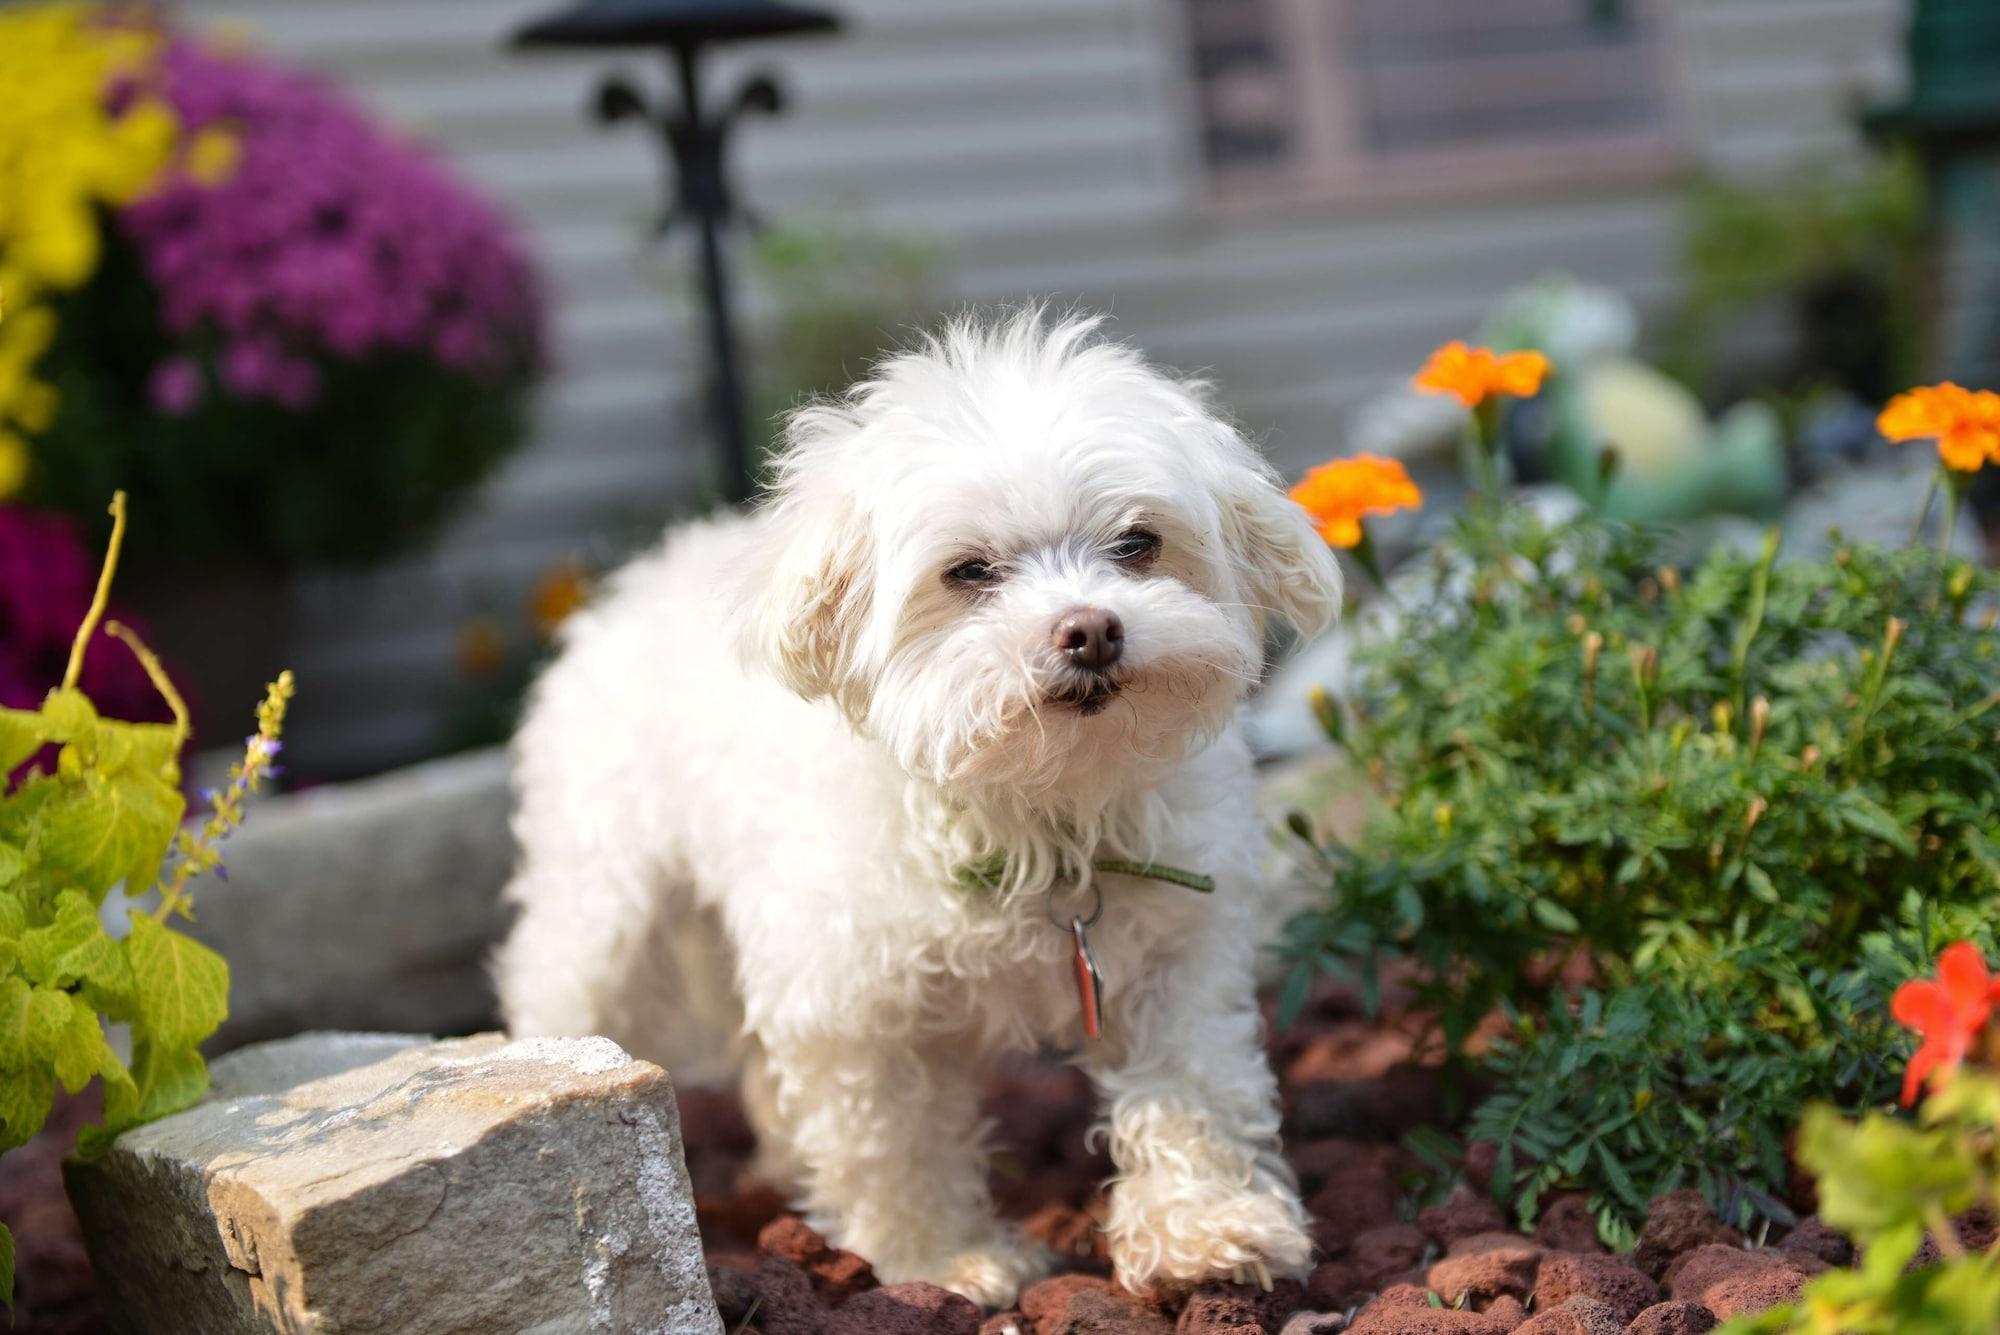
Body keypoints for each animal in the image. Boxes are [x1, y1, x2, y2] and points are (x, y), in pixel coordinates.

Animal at [498, 309, 1344, 1303]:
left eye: (1138, 542)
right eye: (969, 571)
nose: (1090, 629)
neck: (1037, 810)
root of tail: (628, 589)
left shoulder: (1180, 954)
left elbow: (1195, 1088)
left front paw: (1206, 1226)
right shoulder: (850, 1003)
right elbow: (890, 1143)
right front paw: (940, 1259)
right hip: (604, 912)